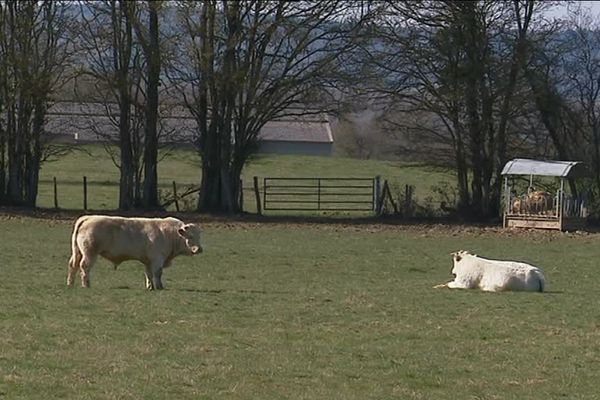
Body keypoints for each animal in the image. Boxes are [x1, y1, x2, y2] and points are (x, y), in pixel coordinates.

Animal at [67, 216, 204, 290]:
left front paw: (150, 287)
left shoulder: (148, 261)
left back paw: (70, 283)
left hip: (78, 252)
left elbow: (148, 274)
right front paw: (159, 287)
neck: (169, 234)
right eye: (190, 236)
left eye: (199, 236)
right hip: (90, 253)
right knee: (84, 267)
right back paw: (86, 285)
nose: (199, 249)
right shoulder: (157, 259)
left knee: (73, 265)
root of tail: (88, 218)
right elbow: (158, 273)